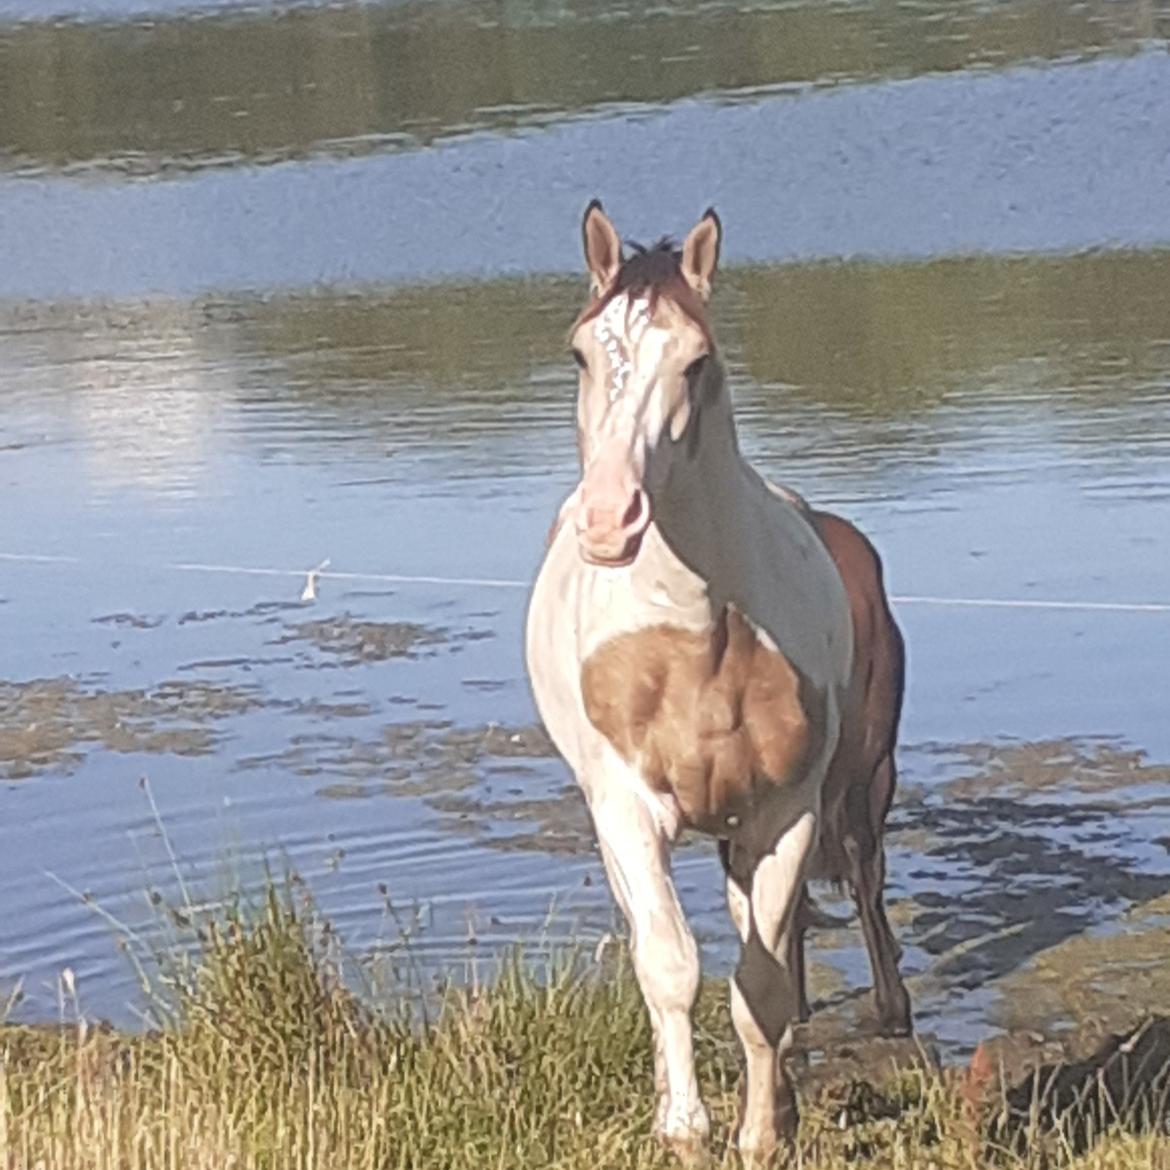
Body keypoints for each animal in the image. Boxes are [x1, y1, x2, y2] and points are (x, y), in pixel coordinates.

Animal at [526, 203, 907, 1160]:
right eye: (580, 353)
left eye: (696, 361)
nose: (609, 517)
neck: (692, 640)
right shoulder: (627, 810)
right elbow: (670, 966)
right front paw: (686, 1131)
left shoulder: (784, 813)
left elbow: (761, 984)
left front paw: (763, 1136)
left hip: (839, 793)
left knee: (842, 893)